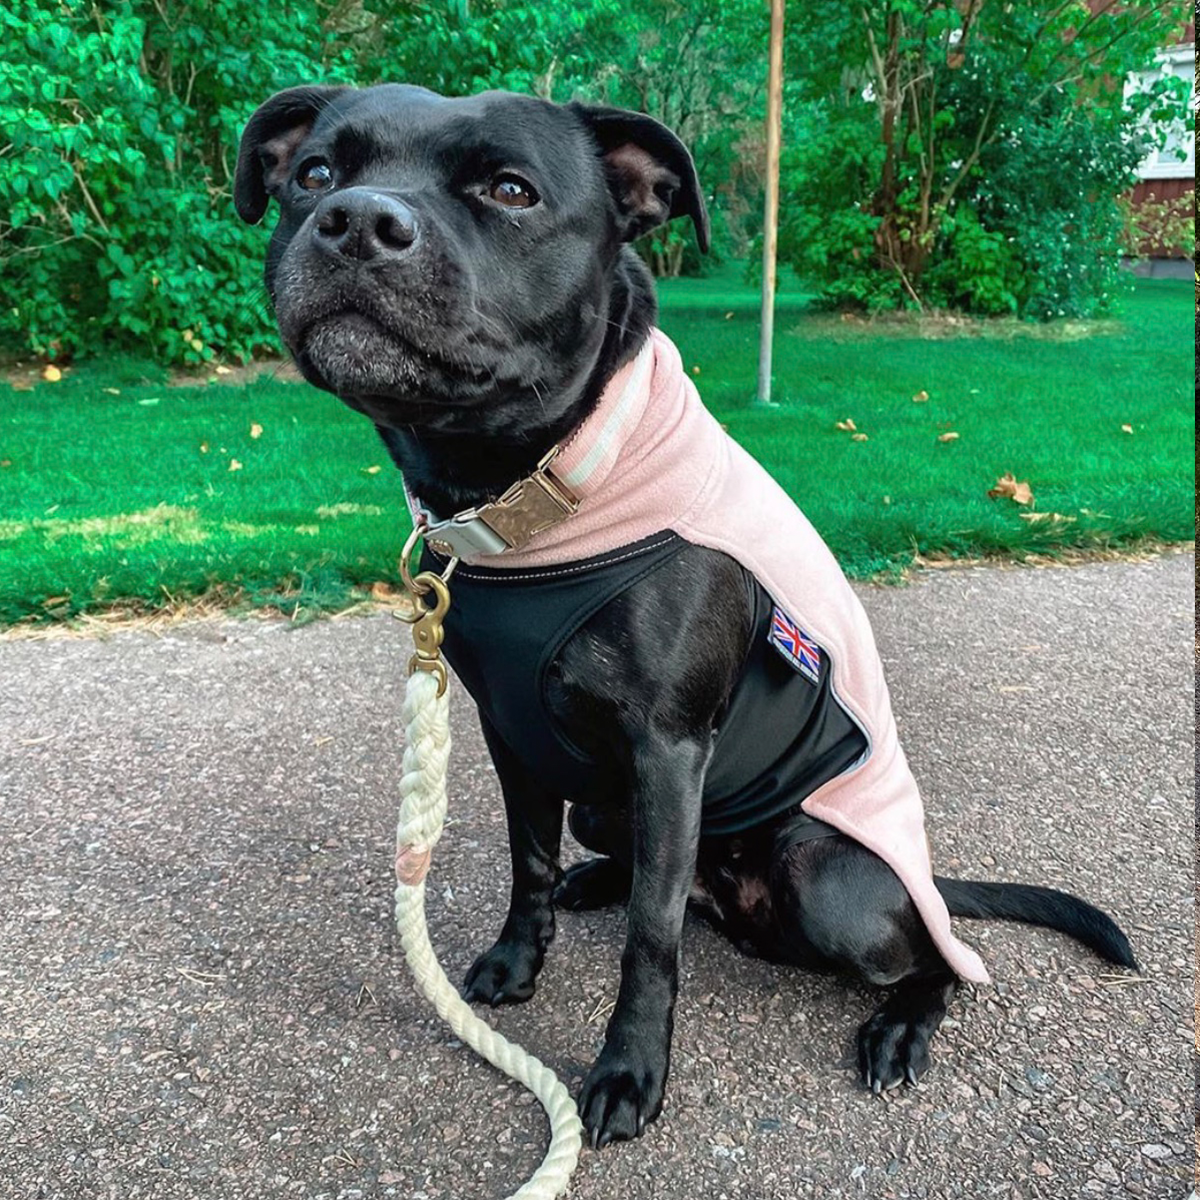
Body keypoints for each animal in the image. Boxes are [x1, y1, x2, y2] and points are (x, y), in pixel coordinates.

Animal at [231, 87, 1132, 1152]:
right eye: (315, 173)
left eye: (511, 190)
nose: (358, 222)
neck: (532, 496)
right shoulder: (512, 736)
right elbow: (528, 861)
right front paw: (515, 961)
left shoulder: (667, 749)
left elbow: (652, 939)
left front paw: (629, 1072)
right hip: (607, 803)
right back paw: (597, 882)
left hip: (823, 873)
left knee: (935, 959)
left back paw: (900, 1026)